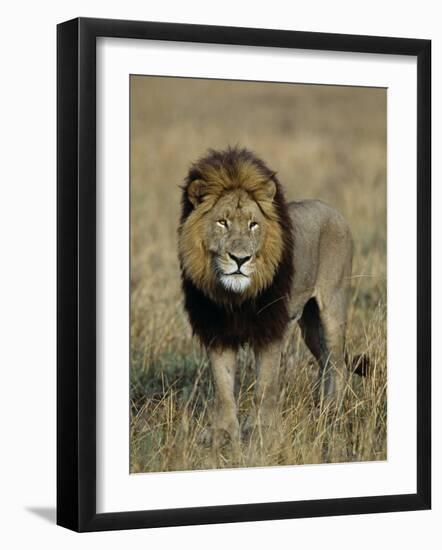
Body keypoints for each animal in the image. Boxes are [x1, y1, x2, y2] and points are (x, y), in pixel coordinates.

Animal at [178, 147, 354, 448]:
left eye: (253, 225)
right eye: (222, 222)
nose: (240, 259)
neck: (235, 297)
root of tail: (333, 210)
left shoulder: (271, 328)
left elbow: (266, 384)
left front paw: (262, 431)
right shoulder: (217, 330)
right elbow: (223, 385)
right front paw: (223, 433)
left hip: (333, 306)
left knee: (338, 363)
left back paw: (332, 414)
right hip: (309, 323)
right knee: (324, 361)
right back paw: (320, 408)